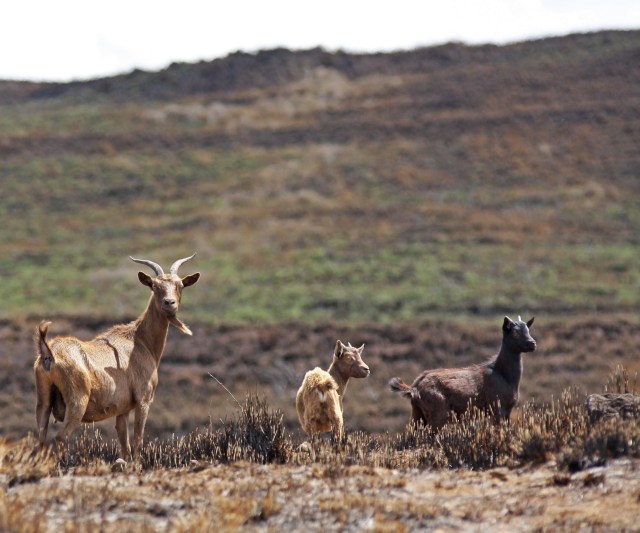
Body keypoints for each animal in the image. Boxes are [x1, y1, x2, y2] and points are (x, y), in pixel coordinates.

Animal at [34, 254, 200, 461]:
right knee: (60, 436)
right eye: (154, 285)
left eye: (180, 285)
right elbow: (138, 439)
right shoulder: (143, 399)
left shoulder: (122, 409)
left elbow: (124, 444)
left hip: (43, 401)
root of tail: (49, 353)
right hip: (77, 401)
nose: (169, 303)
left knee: (40, 439)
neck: (139, 340)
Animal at [389, 316, 536, 429]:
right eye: (515, 333)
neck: (503, 374)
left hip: (417, 414)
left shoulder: (508, 410)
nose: (532, 343)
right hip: (438, 413)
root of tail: (414, 388)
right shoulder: (497, 407)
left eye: (528, 330)